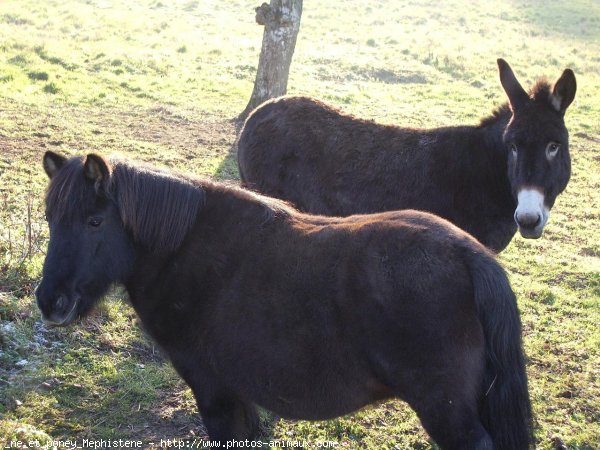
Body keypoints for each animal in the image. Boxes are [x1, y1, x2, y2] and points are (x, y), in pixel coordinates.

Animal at [37, 152, 532, 450]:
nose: (49, 301)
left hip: (447, 413)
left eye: (95, 221)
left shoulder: (212, 390)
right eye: (50, 218)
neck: (187, 249)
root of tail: (469, 255)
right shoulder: (237, 394)